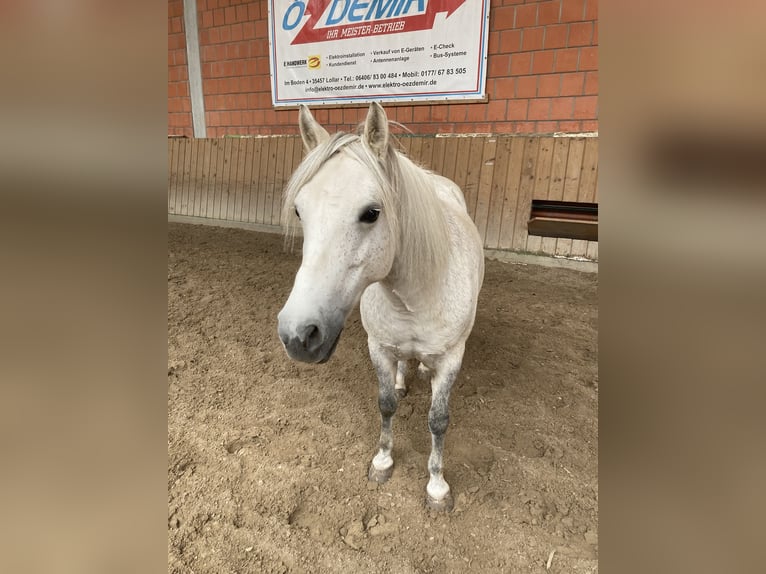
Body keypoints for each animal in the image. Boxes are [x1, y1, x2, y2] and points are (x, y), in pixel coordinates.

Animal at [277, 102, 484, 511]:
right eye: (299, 212)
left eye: (371, 213)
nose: (297, 334)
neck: (415, 293)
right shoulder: (379, 348)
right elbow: (386, 404)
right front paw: (383, 460)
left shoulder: (452, 357)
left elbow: (438, 420)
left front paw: (437, 486)